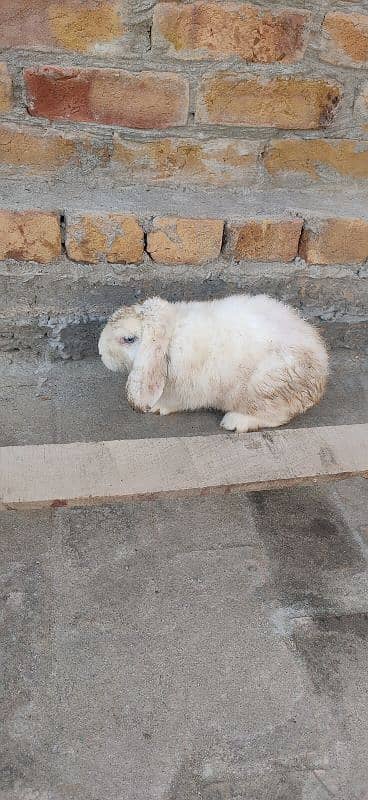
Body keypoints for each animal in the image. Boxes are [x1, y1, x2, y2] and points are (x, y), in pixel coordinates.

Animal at [98, 294, 328, 432]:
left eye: (128, 339)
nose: (100, 353)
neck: (170, 339)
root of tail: (320, 373)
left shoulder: (186, 390)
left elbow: (174, 403)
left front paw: (157, 408)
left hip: (265, 388)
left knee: (276, 416)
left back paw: (235, 422)